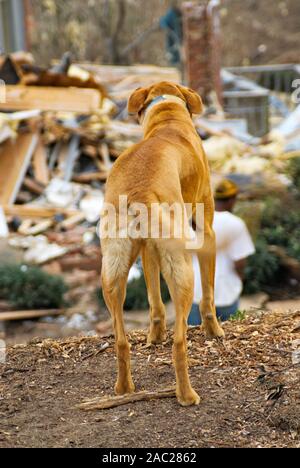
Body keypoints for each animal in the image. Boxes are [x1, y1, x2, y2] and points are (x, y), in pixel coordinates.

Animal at [99, 81, 224, 406]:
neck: (167, 118)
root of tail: (138, 193)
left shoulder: (148, 251)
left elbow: (154, 300)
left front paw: (154, 336)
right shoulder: (207, 232)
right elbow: (208, 296)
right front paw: (214, 330)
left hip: (112, 270)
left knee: (120, 340)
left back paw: (124, 388)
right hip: (182, 268)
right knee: (180, 342)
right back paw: (186, 394)